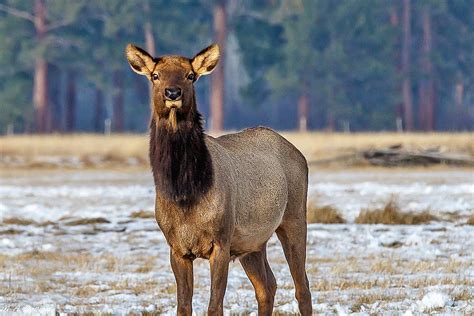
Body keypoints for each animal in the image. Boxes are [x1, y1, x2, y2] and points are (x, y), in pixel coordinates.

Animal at [124, 43, 312, 314]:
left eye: (190, 75)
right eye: (155, 75)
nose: (173, 92)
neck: (185, 196)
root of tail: (299, 154)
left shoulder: (222, 241)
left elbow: (215, 305)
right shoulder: (176, 248)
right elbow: (183, 306)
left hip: (294, 217)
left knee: (302, 286)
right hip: (253, 243)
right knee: (268, 286)